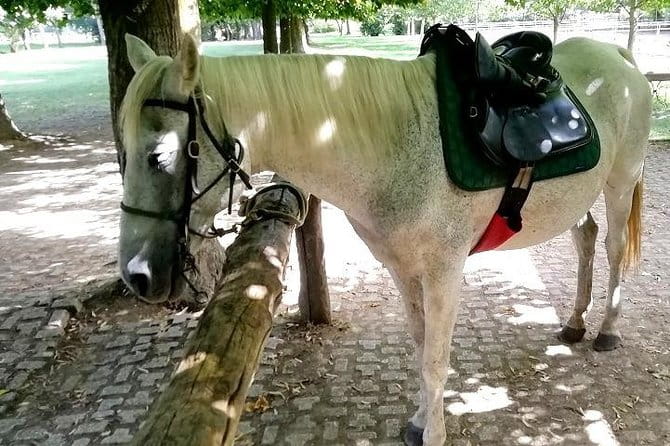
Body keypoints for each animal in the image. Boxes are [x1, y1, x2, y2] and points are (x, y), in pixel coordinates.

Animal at [117, 32, 651, 445]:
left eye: (160, 156)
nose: (137, 277)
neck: (393, 144)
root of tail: (617, 57)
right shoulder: (400, 267)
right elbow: (418, 345)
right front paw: (418, 419)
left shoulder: (443, 272)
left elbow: (435, 359)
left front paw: (433, 433)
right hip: (577, 199)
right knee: (586, 239)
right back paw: (575, 323)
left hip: (620, 183)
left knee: (613, 249)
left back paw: (606, 330)